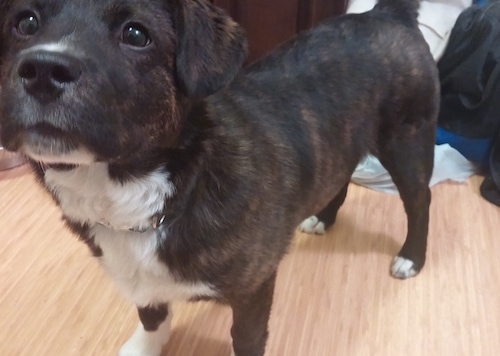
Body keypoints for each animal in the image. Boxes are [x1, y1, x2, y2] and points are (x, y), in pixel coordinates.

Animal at [0, 0, 438, 354]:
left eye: (136, 34)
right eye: (25, 22)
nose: (42, 69)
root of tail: (387, 13)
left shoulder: (254, 290)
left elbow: (246, 339)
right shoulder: (141, 281)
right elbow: (151, 315)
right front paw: (146, 347)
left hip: (408, 143)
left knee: (420, 203)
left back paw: (410, 258)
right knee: (340, 177)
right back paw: (324, 218)